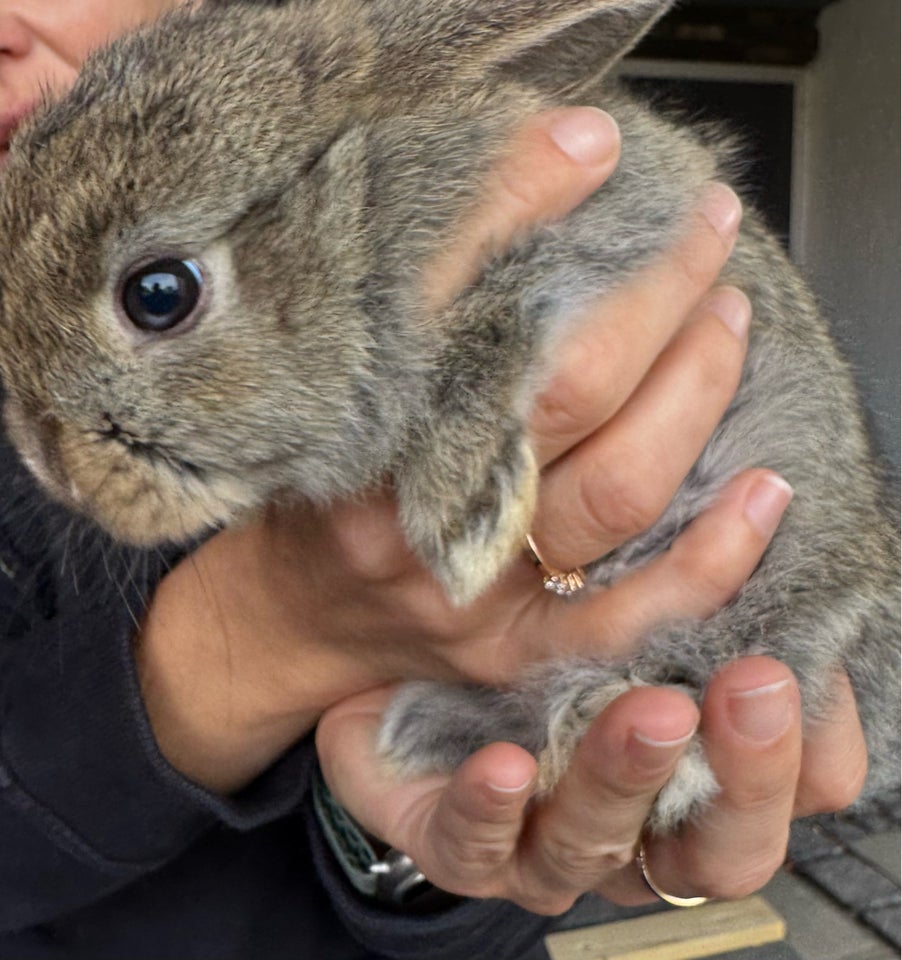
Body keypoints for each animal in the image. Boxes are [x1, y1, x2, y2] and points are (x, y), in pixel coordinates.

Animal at [0, 0, 896, 832]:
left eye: (159, 294)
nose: (49, 462)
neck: (377, 210)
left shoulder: (616, 231)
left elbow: (504, 299)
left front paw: (461, 509)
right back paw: (434, 726)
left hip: (790, 596)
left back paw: (599, 712)